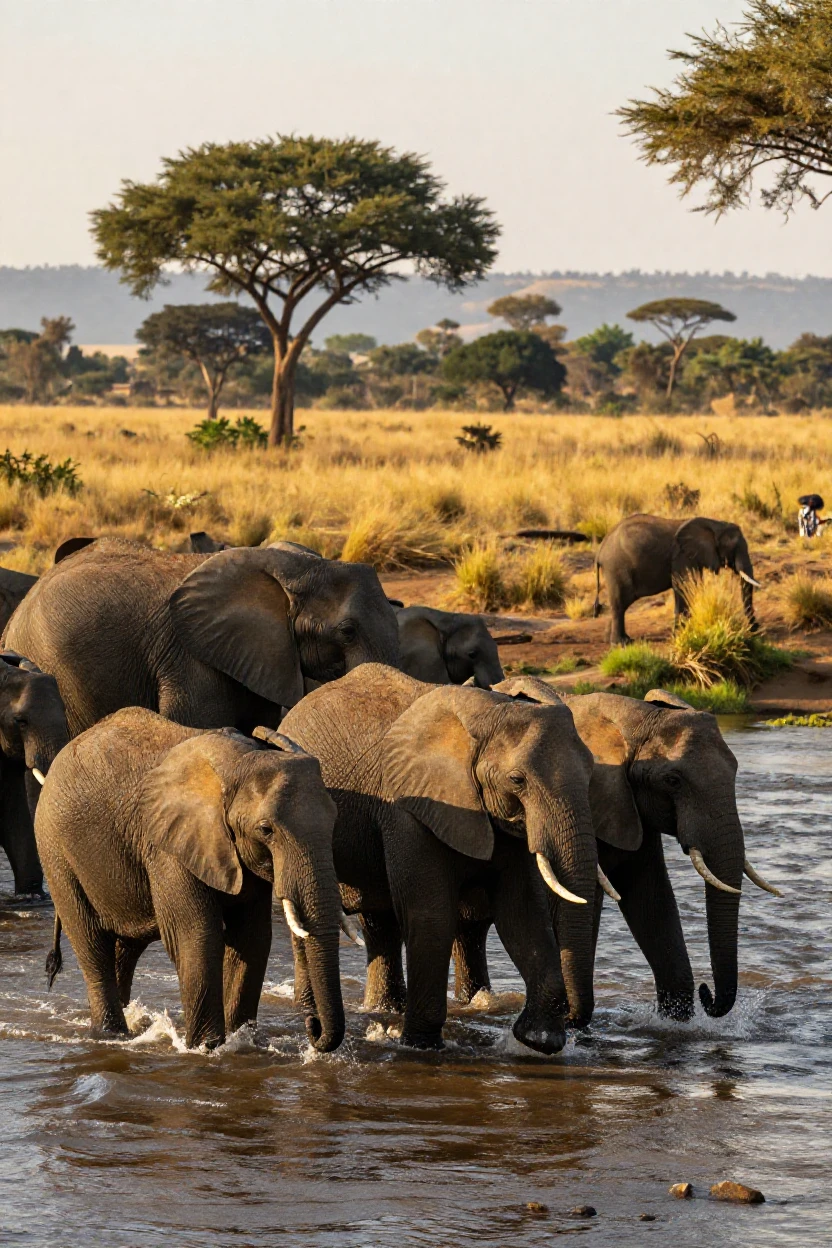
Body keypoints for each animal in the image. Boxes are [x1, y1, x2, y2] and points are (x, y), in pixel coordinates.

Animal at [36, 707, 346, 1051]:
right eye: (266, 830)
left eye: (334, 820)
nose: (313, 1026)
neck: (240, 761)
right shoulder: (166, 847)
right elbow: (198, 934)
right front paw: (205, 1048)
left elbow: (252, 937)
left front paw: (243, 1041)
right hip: (56, 853)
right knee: (92, 946)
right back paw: (112, 1034)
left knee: (125, 949)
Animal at [280, 663, 599, 1053]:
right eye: (517, 779)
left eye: (591, 771)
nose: (573, 1022)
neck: (489, 712)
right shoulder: (408, 806)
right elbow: (430, 914)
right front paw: (419, 1046)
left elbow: (521, 912)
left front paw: (537, 1040)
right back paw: (312, 1012)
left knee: (380, 921)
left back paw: (382, 1009)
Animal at [456, 677, 779, 1022]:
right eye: (673, 780)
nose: (709, 994)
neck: (636, 721)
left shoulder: (632, 810)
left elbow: (652, 901)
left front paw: (675, 1022)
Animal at [594, 514, 760, 645]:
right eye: (734, 548)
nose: (755, 629)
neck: (714, 524)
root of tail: (600, 551)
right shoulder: (681, 557)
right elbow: (683, 586)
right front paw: (681, 635)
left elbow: (693, 586)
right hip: (616, 568)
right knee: (620, 603)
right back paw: (621, 643)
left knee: (622, 603)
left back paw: (613, 639)